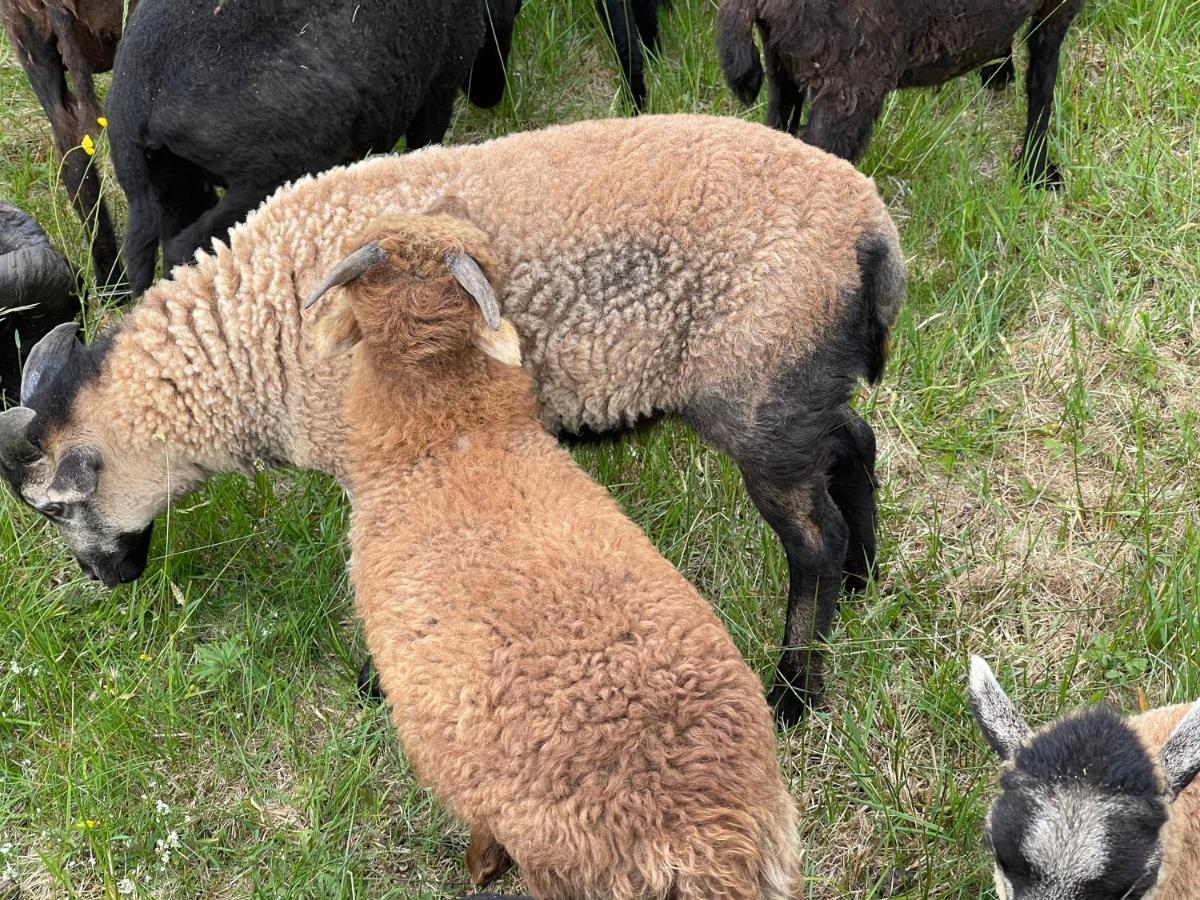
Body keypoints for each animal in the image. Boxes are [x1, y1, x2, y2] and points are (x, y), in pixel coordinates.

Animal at [111, 0, 520, 296]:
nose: (492, 94)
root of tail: (137, 99)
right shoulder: (438, 87)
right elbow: (427, 149)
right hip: (265, 174)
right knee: (186, 248)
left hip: (172, 180)